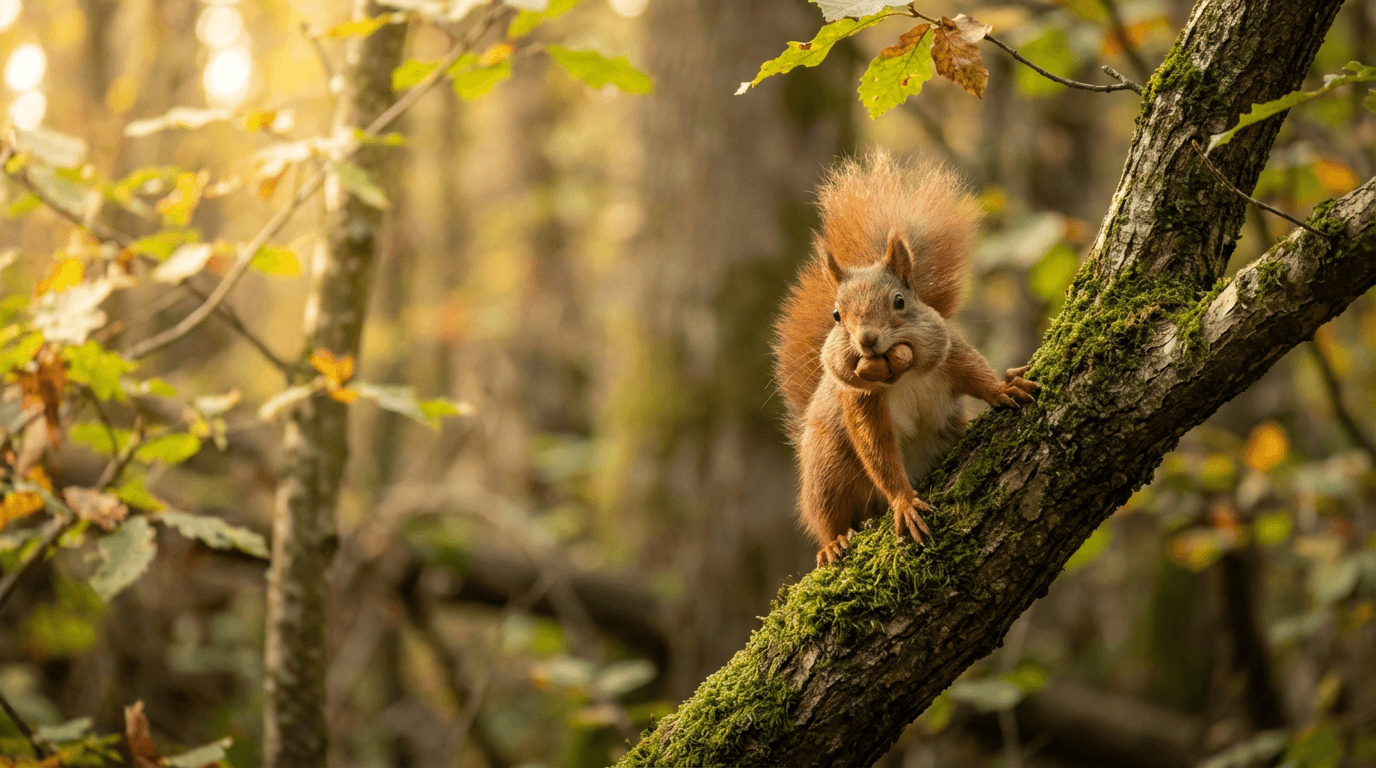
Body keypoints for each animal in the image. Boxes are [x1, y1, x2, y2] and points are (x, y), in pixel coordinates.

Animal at [773, 151, 1040, 568]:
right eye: (836, 315)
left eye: (900, 301)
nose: (867, 340)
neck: (902, 374)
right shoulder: (861, 402)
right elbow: (878, 452)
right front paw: (904, 503)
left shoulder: (949, 351)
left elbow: (976, 375)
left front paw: (1004, 388)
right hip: (827, 468)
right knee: (825, 513)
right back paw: (833, 542)